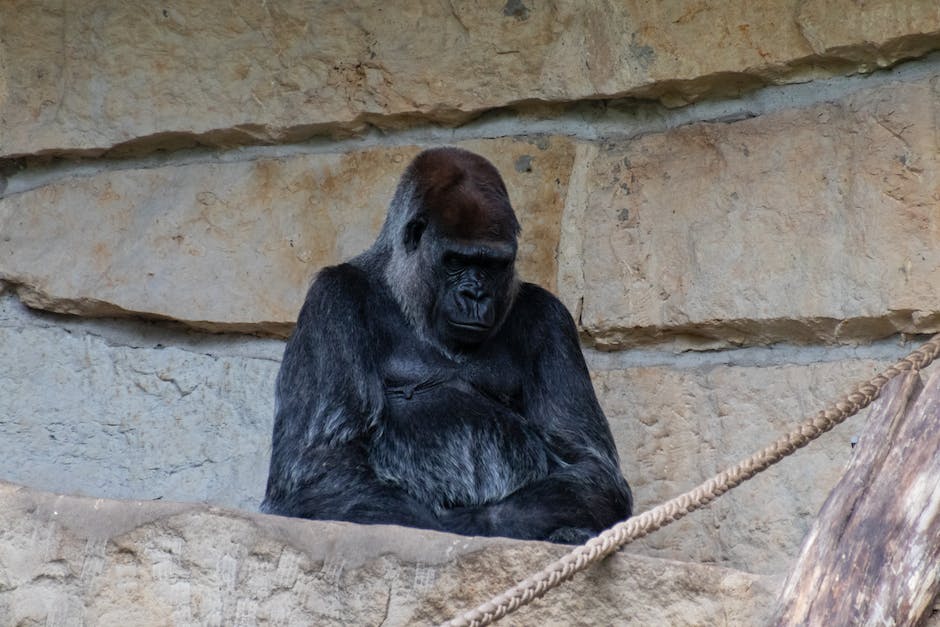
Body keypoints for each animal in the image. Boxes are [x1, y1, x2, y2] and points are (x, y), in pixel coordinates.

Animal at [260, 147, 636, 544]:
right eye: (456, 260)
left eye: (493, 265)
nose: (475, 295)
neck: (400, 285)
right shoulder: (331, 300)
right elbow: (317, 463)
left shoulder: (552, 318)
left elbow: (591, 465)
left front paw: (479, 524)